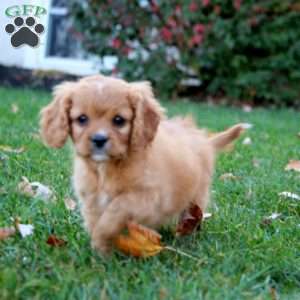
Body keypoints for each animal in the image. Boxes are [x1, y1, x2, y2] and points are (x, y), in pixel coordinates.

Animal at [40, 74, 246, 253]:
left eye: (119, 120)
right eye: (82, 119)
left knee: (192, 218)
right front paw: (102, 253)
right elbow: (95, 221)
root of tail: (204, 140)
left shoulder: (147, 198)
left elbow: (116, 209)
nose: (99, 139)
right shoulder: (91, 199)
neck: (106, 169)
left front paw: (102, 237)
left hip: (196, 198)